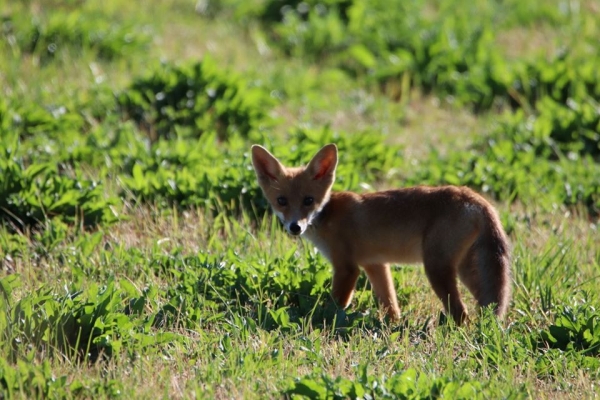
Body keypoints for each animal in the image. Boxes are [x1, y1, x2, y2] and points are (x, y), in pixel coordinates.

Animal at [250, 144, 510, 324]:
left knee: (461, 314)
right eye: (281, 201)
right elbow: (390, 303)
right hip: (466, 270)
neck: (327, 215)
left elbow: (336, 304)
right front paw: (393, 325)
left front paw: (323, 319)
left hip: (436, 268)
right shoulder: (375, 264)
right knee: (485, 304)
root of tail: (475, 198)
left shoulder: (347, 267)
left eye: (308, 201)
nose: (295, 227)